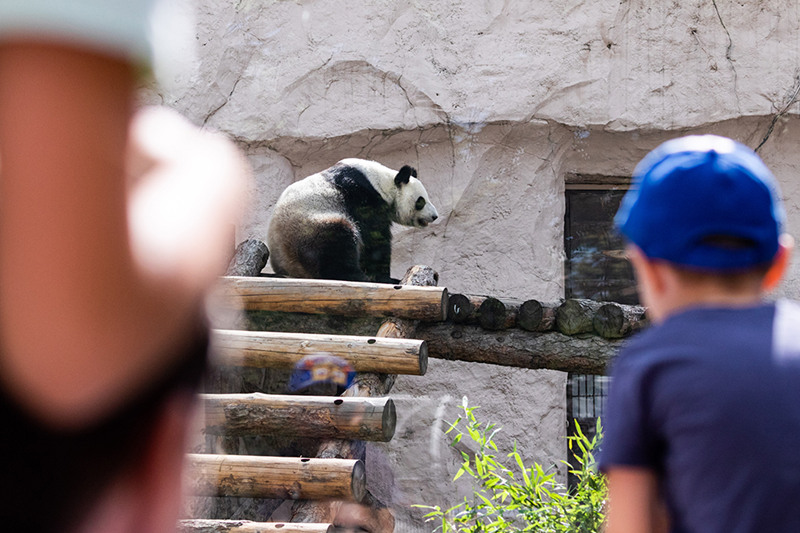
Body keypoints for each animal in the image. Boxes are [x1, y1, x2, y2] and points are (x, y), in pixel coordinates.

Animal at [268, 157, 438, 282]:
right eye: (421, 201)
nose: (435, 216)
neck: (382, 182)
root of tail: (289, 269)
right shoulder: (362, 196)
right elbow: (374, 239)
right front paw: (385, 278)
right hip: (309, 228)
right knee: (337, 242)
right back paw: (358, 276)